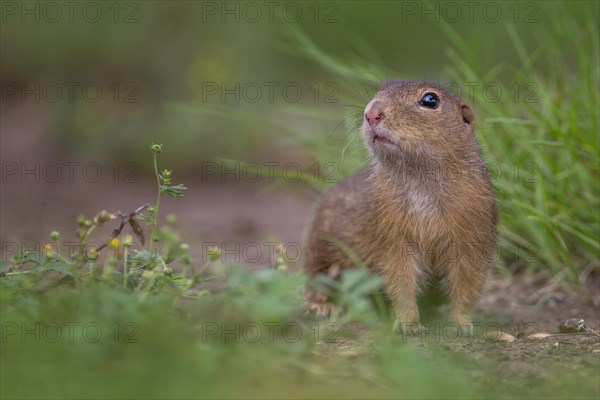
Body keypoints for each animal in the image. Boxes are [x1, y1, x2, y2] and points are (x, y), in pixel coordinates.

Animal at [304, 79, 496, 334]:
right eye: (380, 89)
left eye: (430, 100)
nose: (371, 113)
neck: (420, 179)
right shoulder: (392, 235)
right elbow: (400, 279)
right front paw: (408, 324)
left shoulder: (474, 231)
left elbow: (468, 283)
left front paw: (460, 325)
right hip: (321, 250)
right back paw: (321, 307)